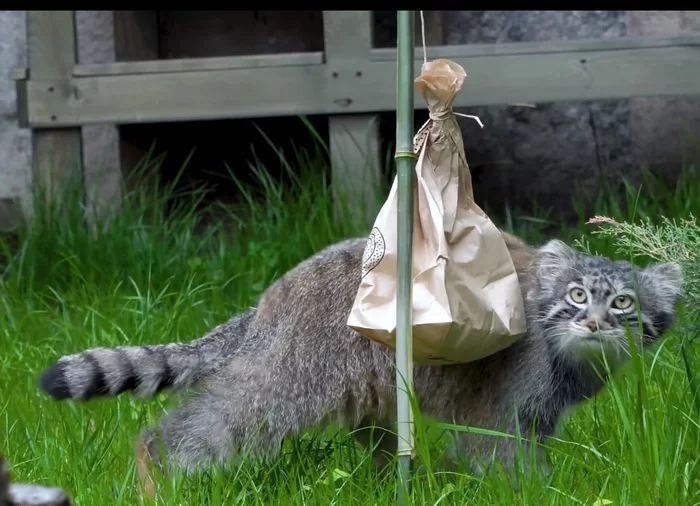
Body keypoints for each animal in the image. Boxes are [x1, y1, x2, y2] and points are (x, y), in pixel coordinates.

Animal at [39, 231, 684, 492]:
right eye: (576, 295)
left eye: (622, 303)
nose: (593, 323)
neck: (566, 356)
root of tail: (271, 298)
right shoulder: (505, 400)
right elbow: (496, 451)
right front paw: (533, 493)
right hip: (299, 370)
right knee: (231, 418)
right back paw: (156, 464)